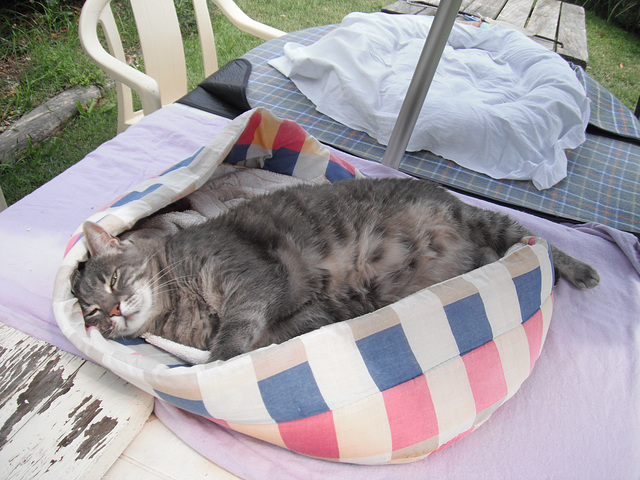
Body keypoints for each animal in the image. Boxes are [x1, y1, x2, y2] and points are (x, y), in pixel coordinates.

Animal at [72, 178, 596, 362]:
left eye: (113, 281)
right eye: (90, 313)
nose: (113, 311)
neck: (180, 308)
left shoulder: (249, 279)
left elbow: (232, 337)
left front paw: (218, 364)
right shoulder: (297, 317)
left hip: (483, 220)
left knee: (539, 239)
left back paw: (582, 269)